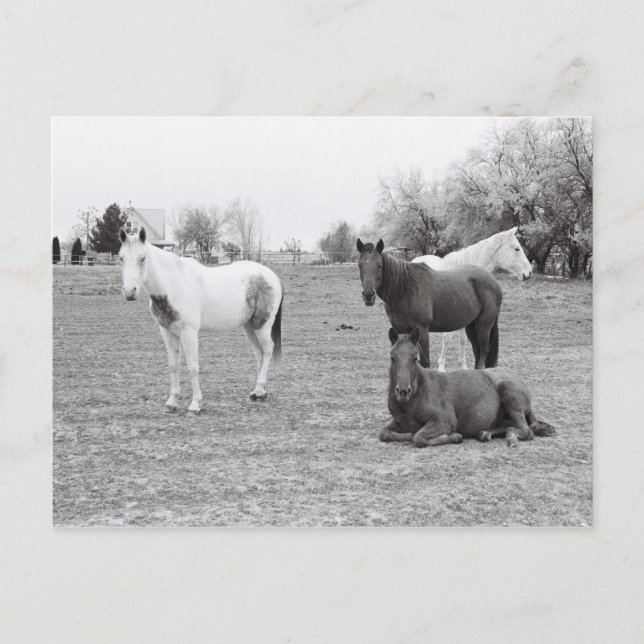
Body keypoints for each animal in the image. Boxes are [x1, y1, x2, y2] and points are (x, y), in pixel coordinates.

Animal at [118, 227, 283, 415]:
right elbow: (173, 365)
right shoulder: (167, 331)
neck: (174, 284)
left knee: (268, 350)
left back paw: (260, 390)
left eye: (142, 258)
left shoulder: (189, 332)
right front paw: (172, 402)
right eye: (121, 257)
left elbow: (192, 366)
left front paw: (195, 404)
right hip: (249, 327)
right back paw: (258, 392)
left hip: (262, 325)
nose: (129, 291)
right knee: (259, 353)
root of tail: (272, 277)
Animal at [356, 238, 503, 369]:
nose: (368, 295)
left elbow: (425, 362)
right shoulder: (399, 330)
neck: (405, 291)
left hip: (483, 324)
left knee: (484, 350)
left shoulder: (422, 330)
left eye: (379, 265)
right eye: (360, 265)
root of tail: (493, 281)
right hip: (471, 326)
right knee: (477, 350)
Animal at [380, 328, 556, 447]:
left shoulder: (444, 420)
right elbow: (384, 434)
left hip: (509, 394)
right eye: (392, 357)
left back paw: (511, 438)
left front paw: (455, 437)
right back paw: (485, 433)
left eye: (415, 358)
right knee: (510, 426)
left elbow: (418, 438)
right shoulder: (399, 422)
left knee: (526, 430)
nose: (403, 391)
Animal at [412, 227, 532, 371]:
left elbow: (462, 339)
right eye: (516, 248)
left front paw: (463, 365)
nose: (529, 272)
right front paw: (441, 366)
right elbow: (446, 338)